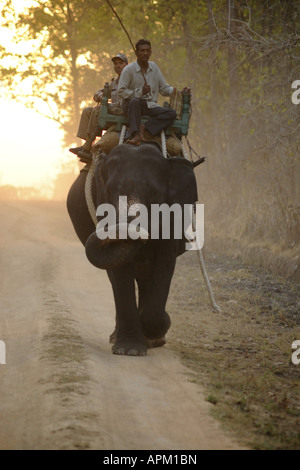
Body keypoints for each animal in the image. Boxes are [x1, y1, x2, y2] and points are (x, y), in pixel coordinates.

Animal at [68, 143, 199, 356]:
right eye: (111, 191)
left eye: (154, 193)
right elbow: (120, 269)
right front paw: (129, 350)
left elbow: (165, 260)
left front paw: (156, 331)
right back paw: (118, 337)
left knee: (145, 276)